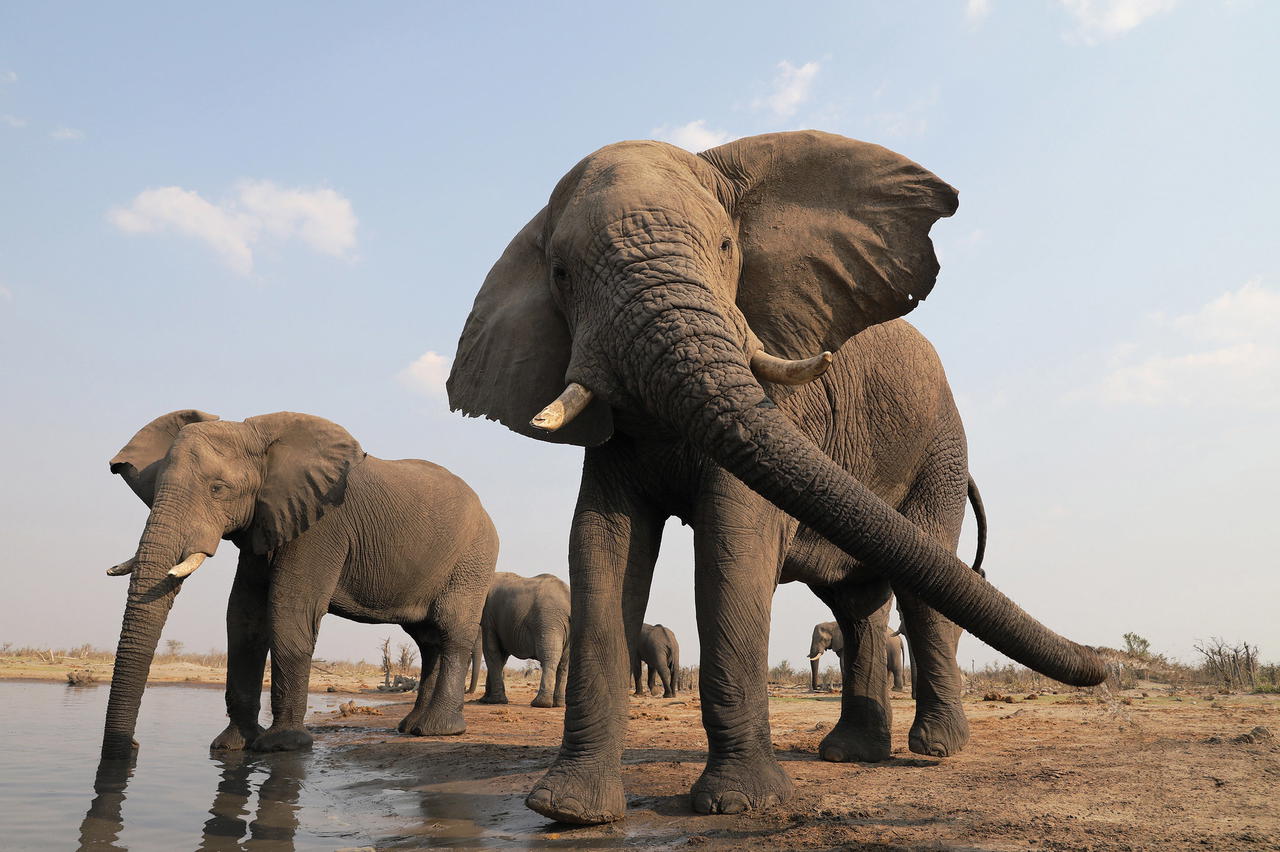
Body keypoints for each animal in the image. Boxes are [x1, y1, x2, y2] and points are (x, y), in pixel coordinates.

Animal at [98, 410, 498, 759]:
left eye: (217, 489)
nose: (133, 747)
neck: (256, 435)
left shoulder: (321, 525)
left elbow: (289, 611)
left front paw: (282, 746)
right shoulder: (264, 523)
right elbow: (244, 617)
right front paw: (231, 746)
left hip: (474, 559)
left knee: (451, 630)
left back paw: (438, 730)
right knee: (427, 639)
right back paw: (411, 727)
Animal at [472, 571, 571, 707]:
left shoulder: (489, 615)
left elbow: (491, 651)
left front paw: (495, 701)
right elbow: (501, 657)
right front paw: (485, 700)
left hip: (549, 621)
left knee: (549, 658)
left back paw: (540, 703)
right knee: (564, 663)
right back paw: (559, 704)